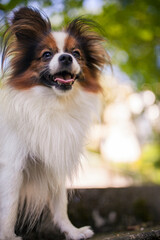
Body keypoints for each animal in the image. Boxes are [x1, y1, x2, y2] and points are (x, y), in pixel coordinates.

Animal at [0, 7, 109, 240]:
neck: (55, 104)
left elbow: (61, 204)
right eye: (47, 54)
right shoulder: (11, 167)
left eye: (76, 53)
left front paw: (72, 231)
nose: (66, 57)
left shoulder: (55, 158)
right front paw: (7, 236)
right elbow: (9, 207)